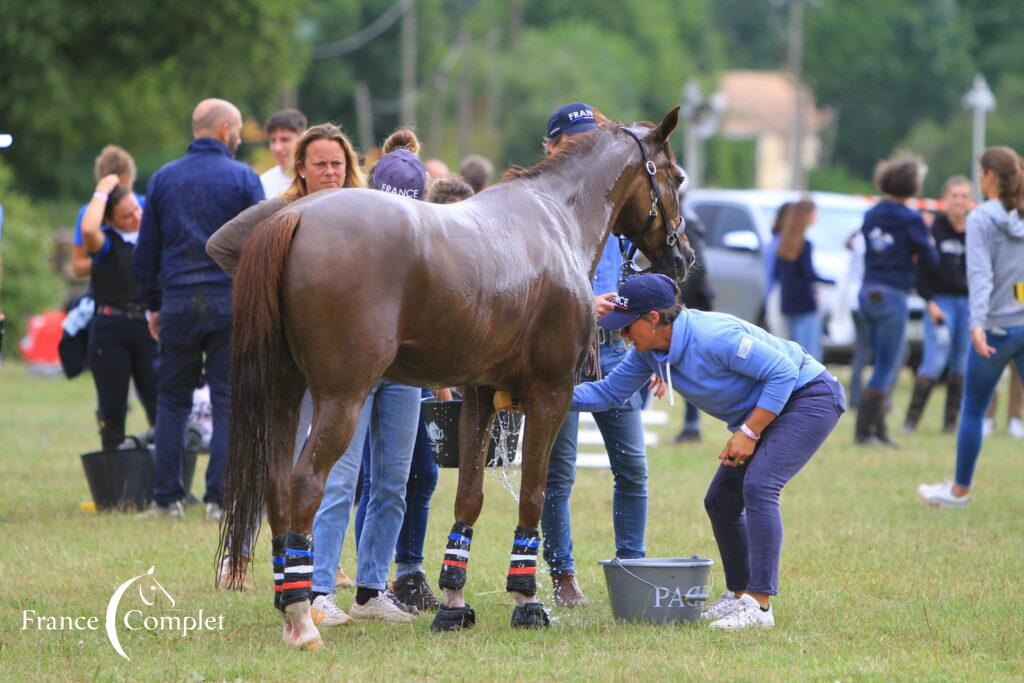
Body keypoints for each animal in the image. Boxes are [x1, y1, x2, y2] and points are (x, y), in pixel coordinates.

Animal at [221, 107, 692, 647]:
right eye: (678, 178)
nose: (684, 257)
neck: (556, 218)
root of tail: (295, 216)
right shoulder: (550, 395)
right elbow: (533, 496)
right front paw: (527, 602)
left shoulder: (479, 395)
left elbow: (469, 498)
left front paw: (452, 604)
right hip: (341, 400)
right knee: (305, 485)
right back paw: (301, 616)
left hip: (283, 393)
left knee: (277, 484)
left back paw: (288, 602)